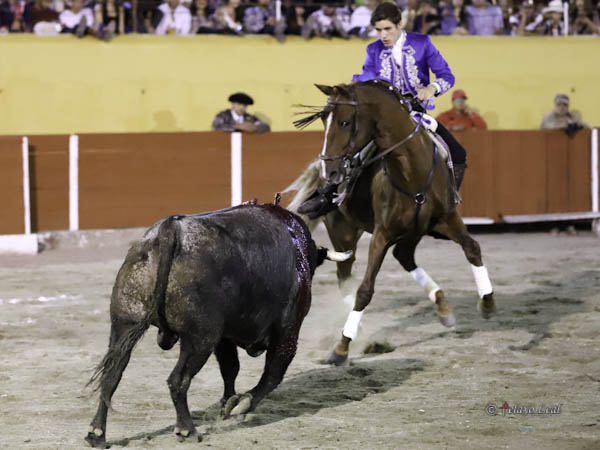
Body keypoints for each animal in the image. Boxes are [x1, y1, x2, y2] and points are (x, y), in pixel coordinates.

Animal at [84, 204, 346, 446]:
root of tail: (168, 231)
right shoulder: (288, 330)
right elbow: (273, 372)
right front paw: (242, 403)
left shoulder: (224, 338)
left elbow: (230, 368)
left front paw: (226, 404)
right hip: (200, 339)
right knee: (178, 380)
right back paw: (186, 429)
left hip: (124, 324)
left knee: (112, 375)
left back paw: (96, 434)